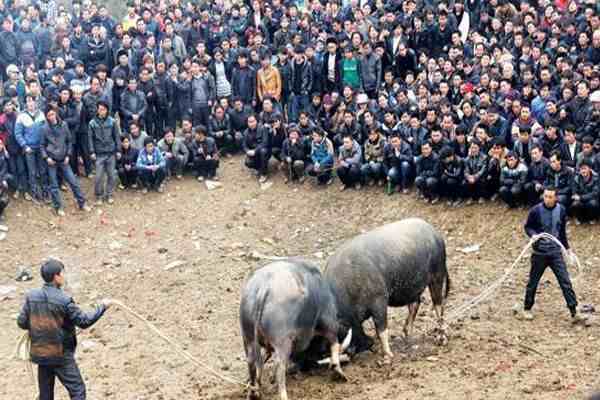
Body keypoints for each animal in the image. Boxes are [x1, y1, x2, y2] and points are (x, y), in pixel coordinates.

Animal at [240, 260, 350, 400]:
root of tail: (263, 288)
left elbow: (263, 359)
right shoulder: (327, 320)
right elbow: (334, 342)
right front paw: (339, 372)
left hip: (248, 338)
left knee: (252, 362)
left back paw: (253, 392)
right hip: (282, 342)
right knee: (279, 366)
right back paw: (283, 394)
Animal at [324, 219, 450, 360]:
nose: (369, 343)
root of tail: (436, 233)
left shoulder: (379, 300)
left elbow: (382, 329)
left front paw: (388, 355)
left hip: (437, 275)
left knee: (438, 305)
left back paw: (442, 339)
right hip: (412, 287)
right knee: (415, 304)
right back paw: (407, 335)